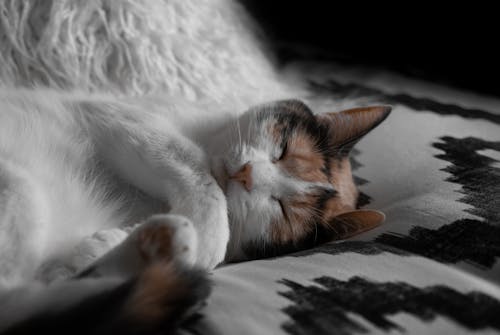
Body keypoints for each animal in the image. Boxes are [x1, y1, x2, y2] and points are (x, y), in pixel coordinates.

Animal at [0, 88, 390, 334]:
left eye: (282, 210)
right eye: (282, 149)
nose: (247, 174)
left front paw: (104, 244)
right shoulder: (122, 118)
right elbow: (199, 175)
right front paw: (204, 238)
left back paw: (154, 243)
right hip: (22, 190)